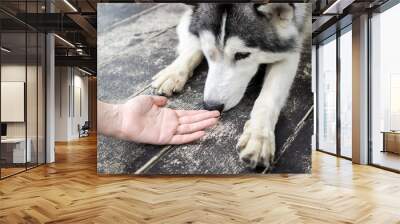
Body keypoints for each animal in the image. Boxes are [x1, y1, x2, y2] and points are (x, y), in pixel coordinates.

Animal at [152, 3, 310, 168]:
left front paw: (259, 135)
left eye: (242, 55)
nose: (212, 106)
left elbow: (268, 98)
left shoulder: (290, 48)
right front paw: (173, 72)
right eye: (208, 52)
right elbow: (193, 47)